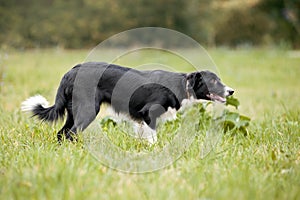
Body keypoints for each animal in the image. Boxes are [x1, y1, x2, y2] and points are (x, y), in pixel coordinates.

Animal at [21, 61, 234, 143]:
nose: (231, 91)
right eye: (213, 81)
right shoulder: (148, 113)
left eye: (220, 80)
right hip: (88, 110)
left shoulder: (140, 119)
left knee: (61, 134)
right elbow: (153, 138)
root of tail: (71, 72)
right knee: (71, 133)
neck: (181, 85)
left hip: (74, 112)